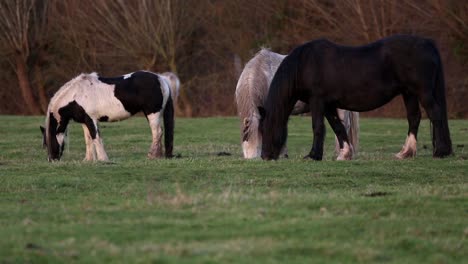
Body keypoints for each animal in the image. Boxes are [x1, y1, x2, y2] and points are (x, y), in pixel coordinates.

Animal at [39, 70, 175, 161]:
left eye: (49, 140)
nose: (52, 160)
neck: (76, 95)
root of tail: (161, 79)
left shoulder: (91, 119)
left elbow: (96, 138)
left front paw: (103, 159)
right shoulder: (85, 121)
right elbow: (88, 139)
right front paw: (88, 160)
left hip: (152, 113)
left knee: (157, 132)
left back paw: (152, 155)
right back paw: (158, 156)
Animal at [260, 35, 454, 161]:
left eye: (267, 128)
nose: (265, 156)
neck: (305, 64)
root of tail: (427, 43)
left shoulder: (317, 101)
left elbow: (318, 127)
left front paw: (313, 155)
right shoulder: (328, 105)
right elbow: (337, 127)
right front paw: (344, 154)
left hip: (422, 92)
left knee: (436, 114)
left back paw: (441, 152)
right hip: (409, 93)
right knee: (414, 117)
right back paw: (406, 153)